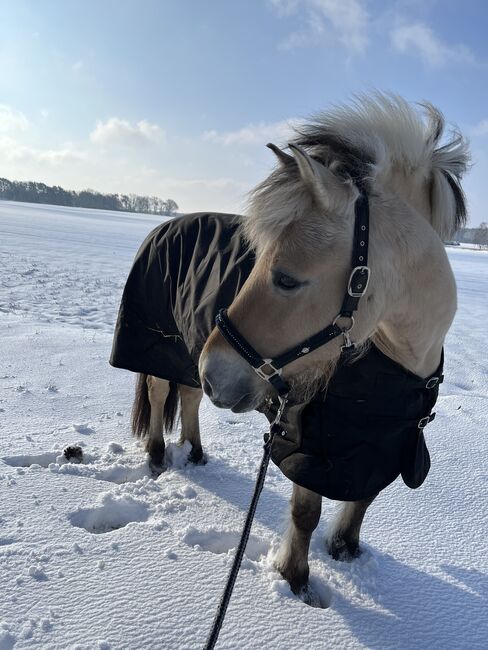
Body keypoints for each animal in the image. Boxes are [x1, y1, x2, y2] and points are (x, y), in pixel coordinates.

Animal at [111, 95, 468, 604]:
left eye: (285, 278)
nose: (217, 371)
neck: (401, 362)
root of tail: (163, 226)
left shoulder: (387, 438)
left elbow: (364, 497)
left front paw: (345, 549)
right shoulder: (306, 441)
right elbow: (305, 514)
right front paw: (297, 581)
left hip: (187, 355)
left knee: (191, 396)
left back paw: (196, 451)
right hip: (162, 347)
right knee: (163, 394)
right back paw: (159, 457)